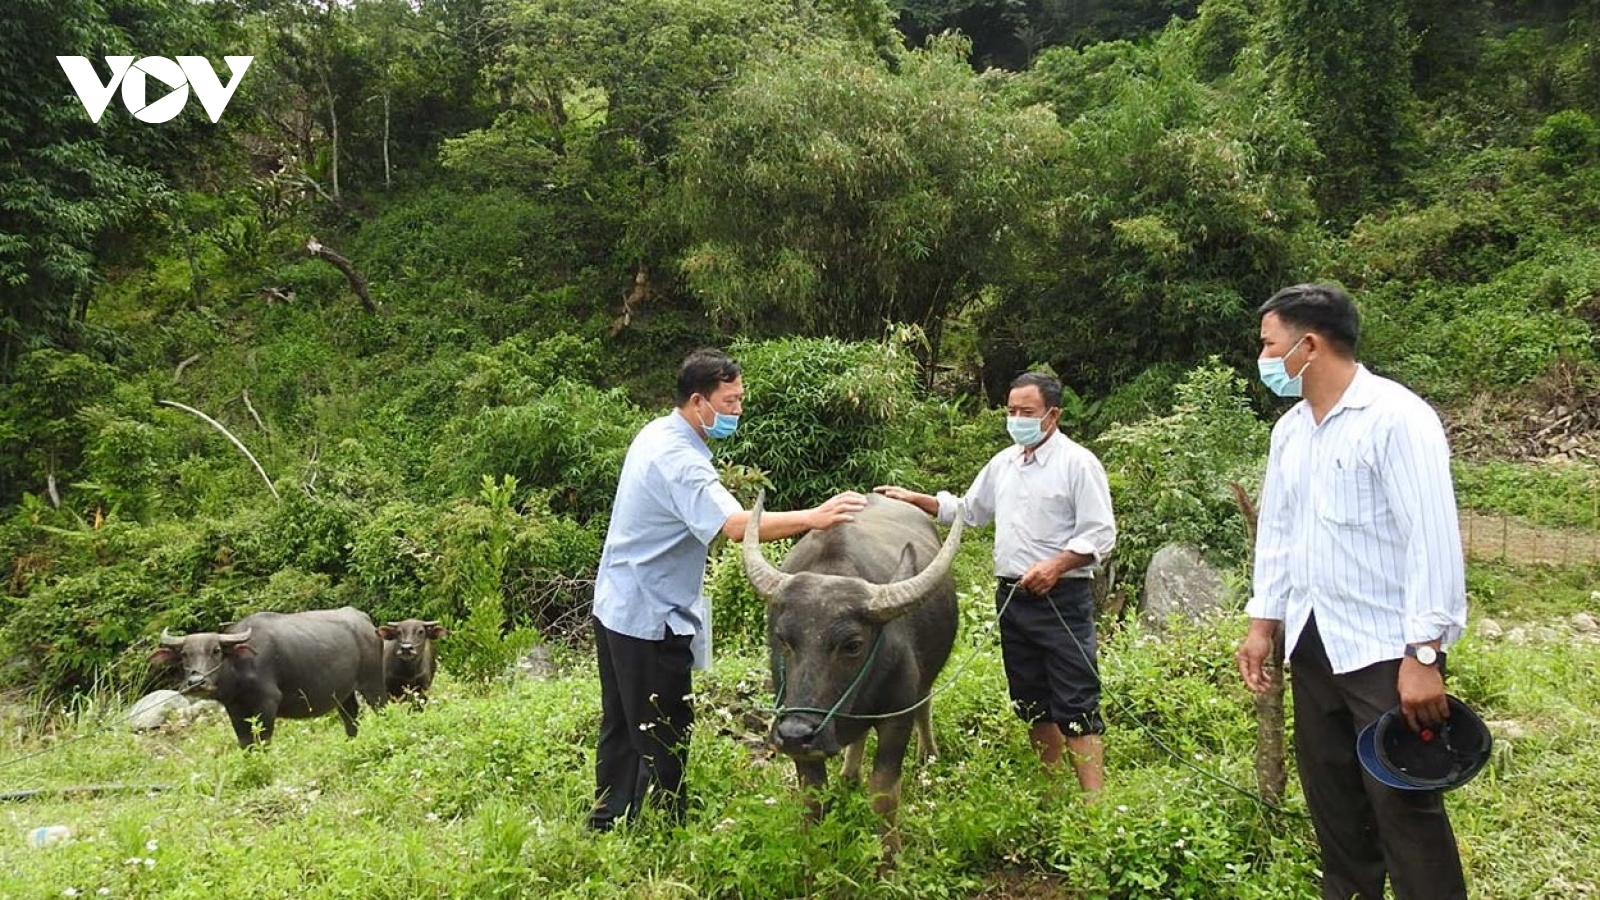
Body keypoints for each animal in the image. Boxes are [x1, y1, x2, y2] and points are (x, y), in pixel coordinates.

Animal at [152, 605, 387, 746]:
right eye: (185, 654)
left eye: (216, 651)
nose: (196, 682)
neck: (240, 669)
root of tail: (366, 622)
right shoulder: (235, 708)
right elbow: (245, 742)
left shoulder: (268, 703)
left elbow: (263, 740)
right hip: (344, 694)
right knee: (351, 720)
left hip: (372, 684)